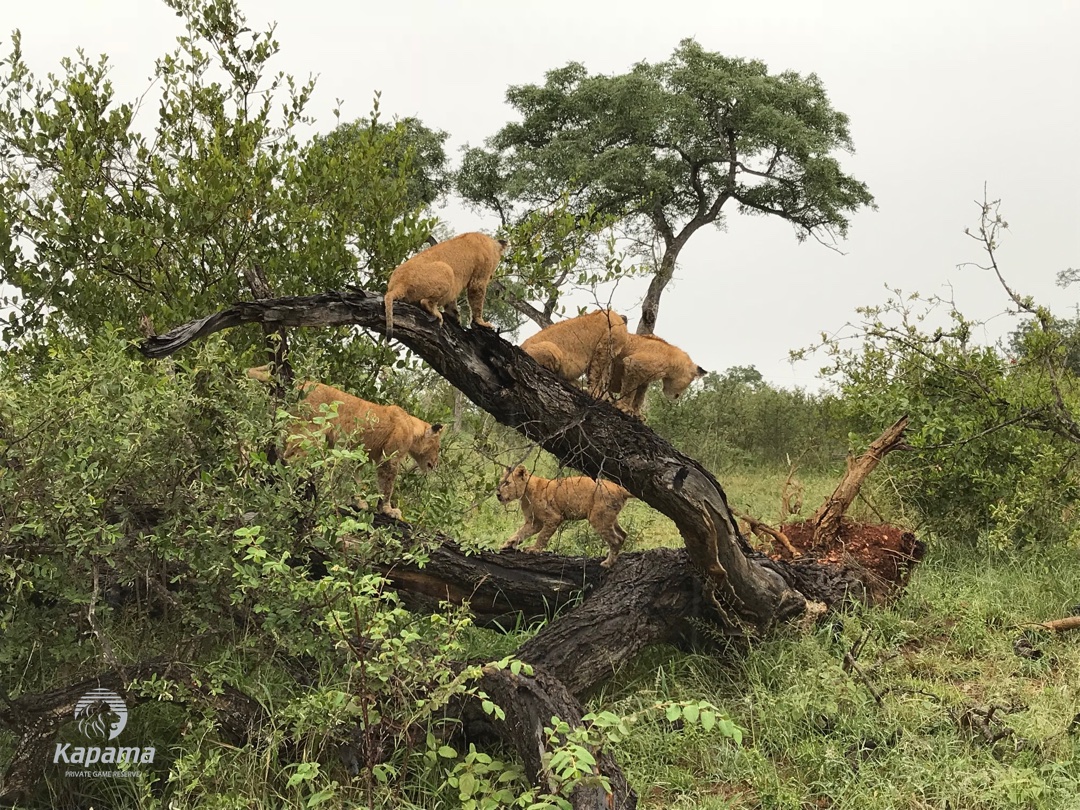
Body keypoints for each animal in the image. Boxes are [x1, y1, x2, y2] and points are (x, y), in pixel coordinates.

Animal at [247, 366, 443, 520]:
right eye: (437, 447)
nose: (435, 464)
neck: (412, 425)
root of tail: (297, 385)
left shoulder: (359, 453)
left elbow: (356, 477)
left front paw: (359, 502)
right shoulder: (390, 459)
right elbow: (387, 486)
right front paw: (388, 510)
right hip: (310, 431)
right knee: (293, 457)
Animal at [496, 465, 632, 568]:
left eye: (507, 483)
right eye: (500, 482)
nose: (497, 494)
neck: (525, 495)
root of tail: (620, 488)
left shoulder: (554, 517)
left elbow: (542, 536)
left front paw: (534, 549)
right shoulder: (533, 522)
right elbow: (520, 532)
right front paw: (507, 544)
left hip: (598, 517)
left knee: (616, 539)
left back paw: (608, 563)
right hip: (609, 517)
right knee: (623, 534)